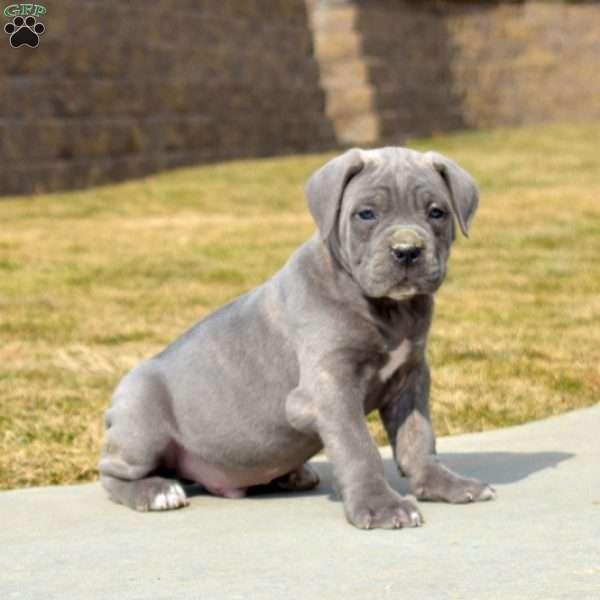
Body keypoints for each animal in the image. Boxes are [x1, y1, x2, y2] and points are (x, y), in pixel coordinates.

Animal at [99, 149, 496, 528]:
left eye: (437, 212)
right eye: (366, 214)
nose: (407, 250)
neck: (388, 309)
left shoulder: (411, 377)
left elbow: (418, 437)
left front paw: (444, 484)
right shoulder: (330, 386)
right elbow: (357, 446)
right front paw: (379, 506)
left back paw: (291, 475)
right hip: (140, 421)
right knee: (111, 473)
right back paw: (155, 492)